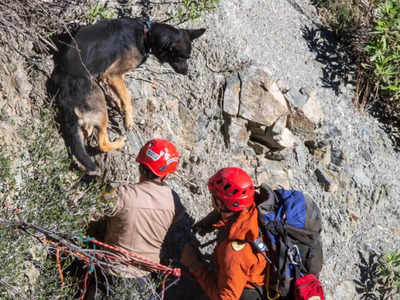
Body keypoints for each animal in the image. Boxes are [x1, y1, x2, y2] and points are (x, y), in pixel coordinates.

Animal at [54, 17, 205, 176]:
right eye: (181, 57)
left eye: (187, 57)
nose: (186, 73)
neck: (147, 34)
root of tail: (64, 93)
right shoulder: (112, 75)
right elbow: (127, 98)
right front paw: (129, 120)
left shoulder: (113, 78)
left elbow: (121, 94)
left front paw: (117, 103)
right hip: (100, 105)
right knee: (102, 144)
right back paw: (119, 142)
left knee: (81, 147)